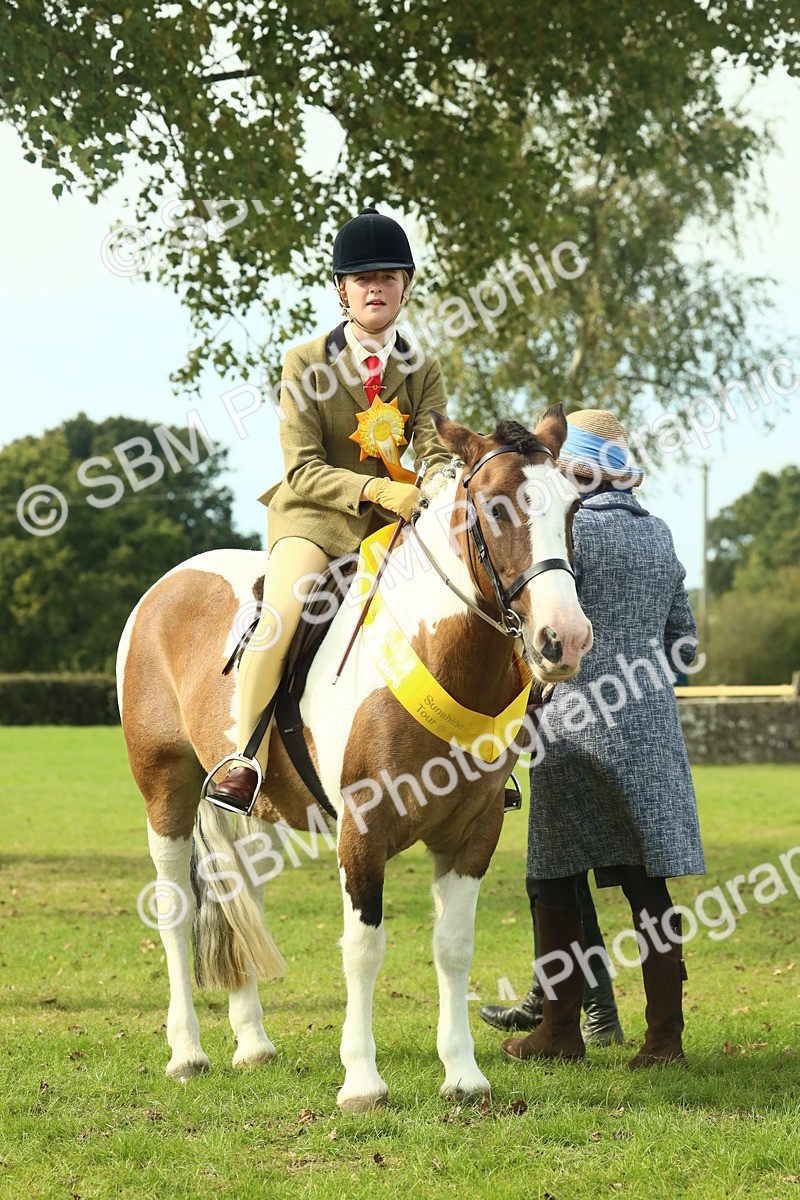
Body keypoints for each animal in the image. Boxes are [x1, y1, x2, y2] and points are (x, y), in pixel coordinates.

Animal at [117, 404, 592, 1110]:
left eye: (572, 506)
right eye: (495, 507)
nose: (565, 639)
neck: (438, 651)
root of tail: (169, 584)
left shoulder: (473, 832)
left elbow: (454, 947)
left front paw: (463, 1074)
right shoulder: (362, 831)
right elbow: (364, 947)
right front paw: (362, 1081)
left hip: (254, 806)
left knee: (239, 892)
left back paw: (252, 1042)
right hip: (164, 790)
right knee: (176, 907)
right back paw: (187, 1052)